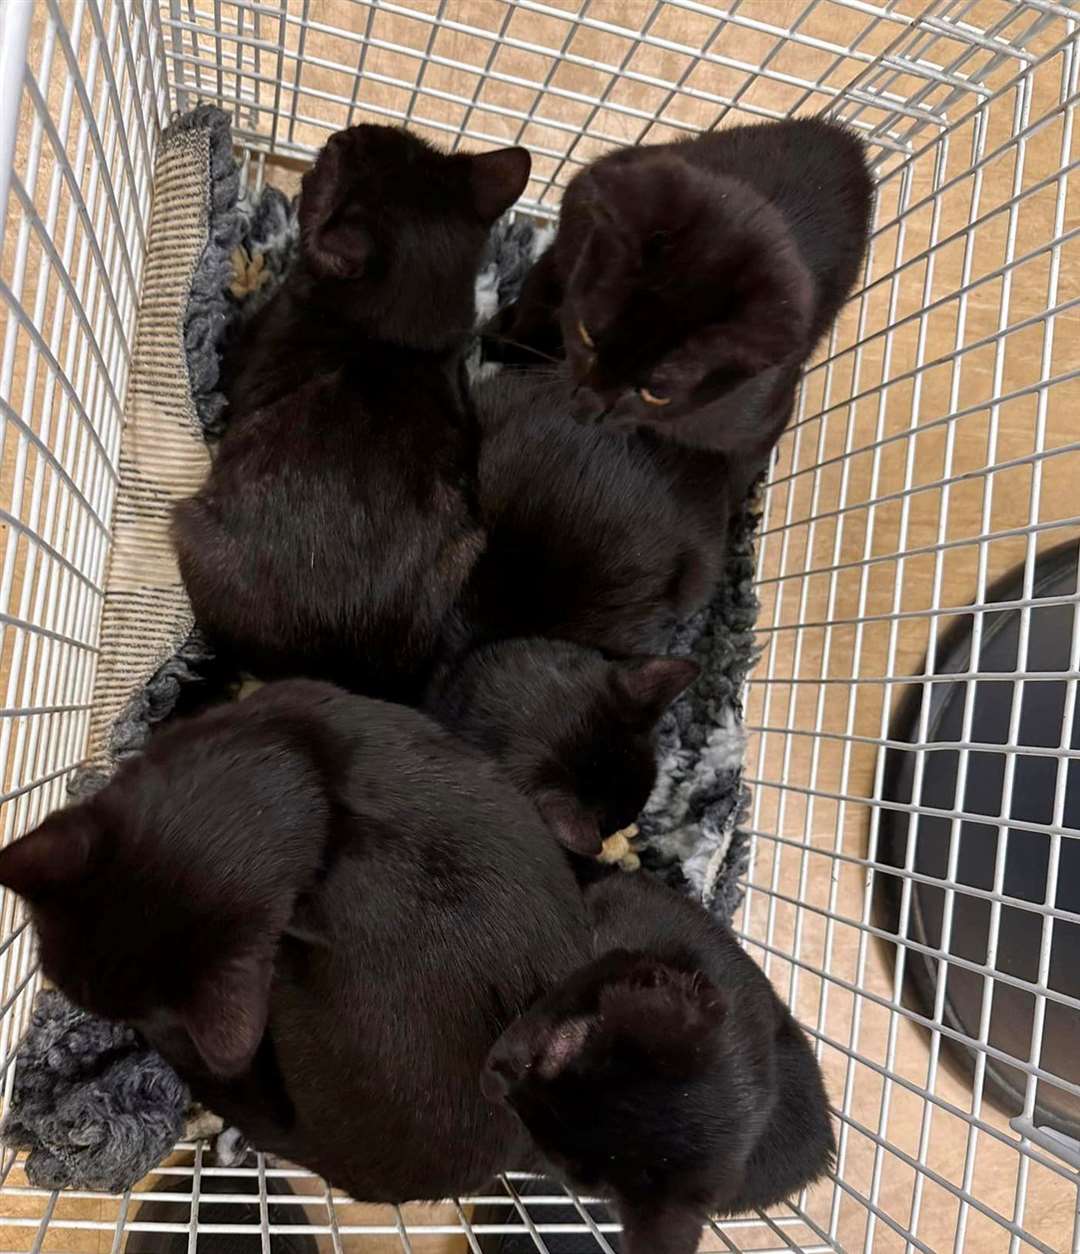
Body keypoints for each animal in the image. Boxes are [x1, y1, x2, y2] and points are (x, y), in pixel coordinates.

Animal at [173, 124, 531, 707]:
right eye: (392, 138)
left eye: (339, 163)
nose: (342, 133)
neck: (401, 339)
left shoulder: (252, 345)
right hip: (466, 548)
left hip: (193, 527)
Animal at [484, 117, 873, 486]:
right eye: (587, 336)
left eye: (657, 394)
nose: (585, 409)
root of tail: (846, 138)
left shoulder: (760, 416)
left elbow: (743, 466)